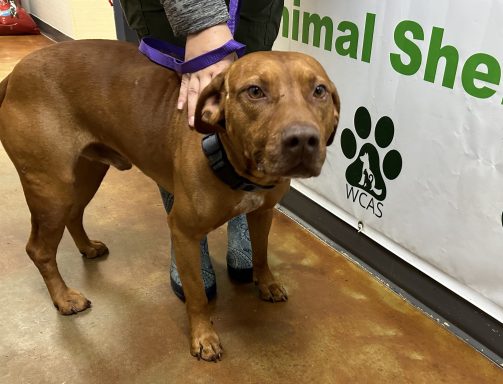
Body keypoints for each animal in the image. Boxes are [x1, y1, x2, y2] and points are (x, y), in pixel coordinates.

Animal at [0, 40, 340, 362]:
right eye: (255, 91)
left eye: (319, 90)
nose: (303, 139)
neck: (229, 160)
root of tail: (13, 75)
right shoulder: (184, 233)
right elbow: (197, 294)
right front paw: (203, 337)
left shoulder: (263, 212)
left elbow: (261, 253)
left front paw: (266, 282)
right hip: (51, 190)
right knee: (39, 249)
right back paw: (63, 298)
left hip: (86, 174)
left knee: (75, 214)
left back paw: (87, 247)